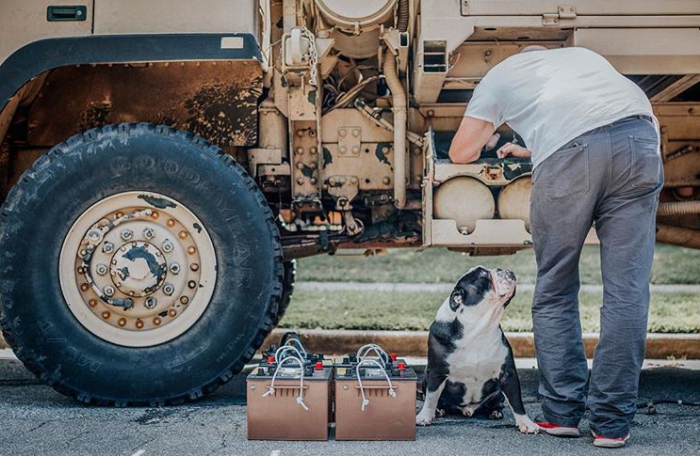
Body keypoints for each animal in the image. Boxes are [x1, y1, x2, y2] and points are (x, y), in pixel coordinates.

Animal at [418, 268, 540, 434]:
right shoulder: (437, 372)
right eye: (484, 275)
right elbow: (431, 397)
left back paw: (495, 412)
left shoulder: (507, 373)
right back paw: (439, 410)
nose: (503, 270)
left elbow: (516, 400)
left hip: (497, 394)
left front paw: (526, 423)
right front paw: (424, 416)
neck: (477, 327)